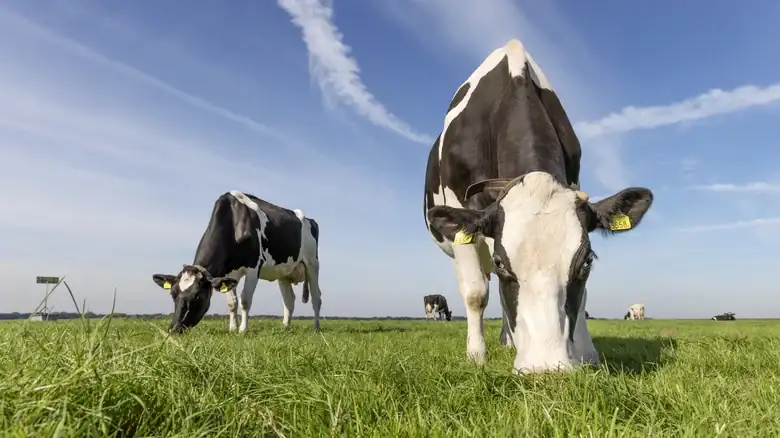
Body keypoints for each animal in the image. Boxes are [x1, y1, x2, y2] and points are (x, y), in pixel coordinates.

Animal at [152, 190, 322, 334]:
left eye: (197, 297)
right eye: (173, 294)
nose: (174, 329)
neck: (234, 222)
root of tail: (309, 220)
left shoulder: (253, 267)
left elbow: (245, 300)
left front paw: (242, 330)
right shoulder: (228, 272)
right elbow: (232, 303)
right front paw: (232, 328)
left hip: (312, 264)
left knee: (316, 298)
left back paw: (316, 328)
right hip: (284, 272)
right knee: (289, 300)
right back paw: (285, 327)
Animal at [423, 39, 654, 374]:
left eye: (587, 261)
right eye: (501, 263)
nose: (546, 369)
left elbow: (582, 298)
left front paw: (586, 354)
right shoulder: (462, 217)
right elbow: (476, 293)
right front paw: (476, 357)